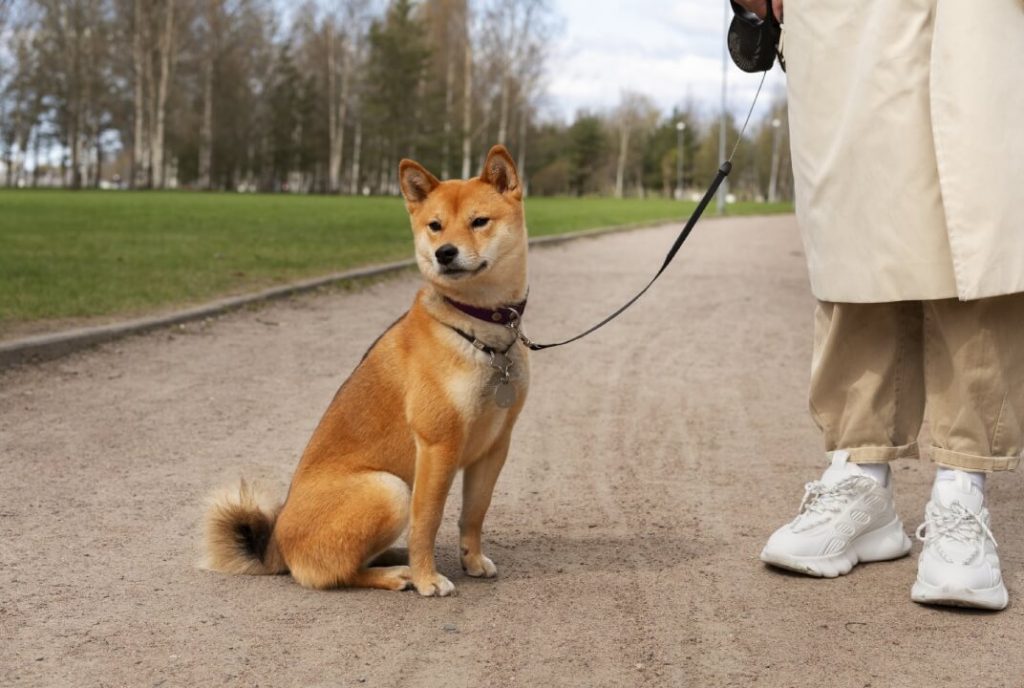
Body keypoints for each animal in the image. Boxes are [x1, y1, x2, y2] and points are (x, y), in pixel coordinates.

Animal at [203, 145, 532, 597]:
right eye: (435, 226)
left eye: (479, 221)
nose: (444, 253)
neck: (480, 331)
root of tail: (277, 548)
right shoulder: (438, 445)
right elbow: (427, 522)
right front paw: (428, 577)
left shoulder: (495, 446)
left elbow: (474, 514)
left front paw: (472, 560)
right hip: (389, 488)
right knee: (336, 572)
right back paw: (399, 573)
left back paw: (395, 556)